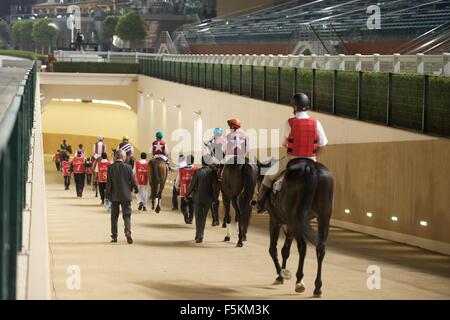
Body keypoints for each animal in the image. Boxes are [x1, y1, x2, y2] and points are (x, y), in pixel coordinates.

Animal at [256, 158, 334, 298]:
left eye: (259, 177)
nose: (258, 204)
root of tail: (310, 167)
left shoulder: (275, 220)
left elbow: (273, 249)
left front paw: (281, 275)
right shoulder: (290, 225)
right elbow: (285, 250)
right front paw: (282, 275)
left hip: (295, 220)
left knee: (302, 247)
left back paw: (299, 281)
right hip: (323, 218)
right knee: (320, 248)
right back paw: (317, 288)